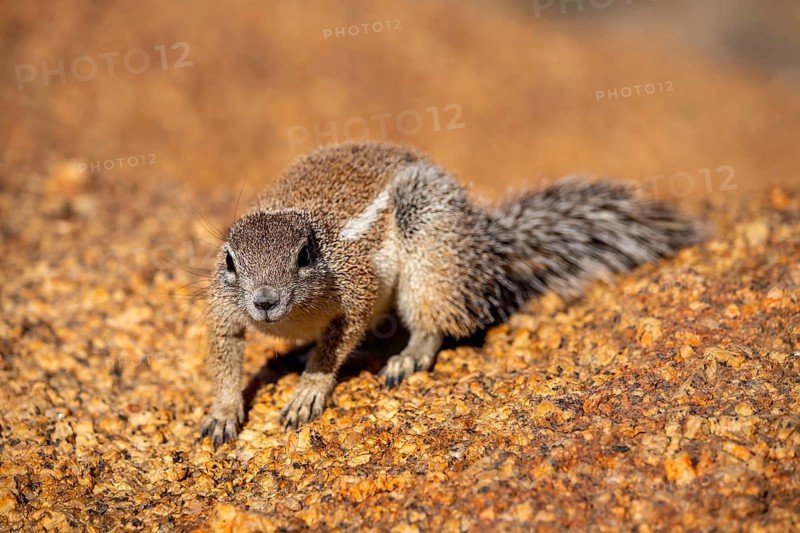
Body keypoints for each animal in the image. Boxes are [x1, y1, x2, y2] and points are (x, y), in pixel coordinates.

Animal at [199, 141, 702, 446]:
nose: (265, 300)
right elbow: (224, 351)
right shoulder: (225, 309)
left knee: (434, 322)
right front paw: (223, 411)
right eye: (231, 262)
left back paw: (408, 356)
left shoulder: (355, 289)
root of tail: (486, 245)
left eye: (304, 255)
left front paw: (308, 391)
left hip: (430, 246)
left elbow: (337, 344)